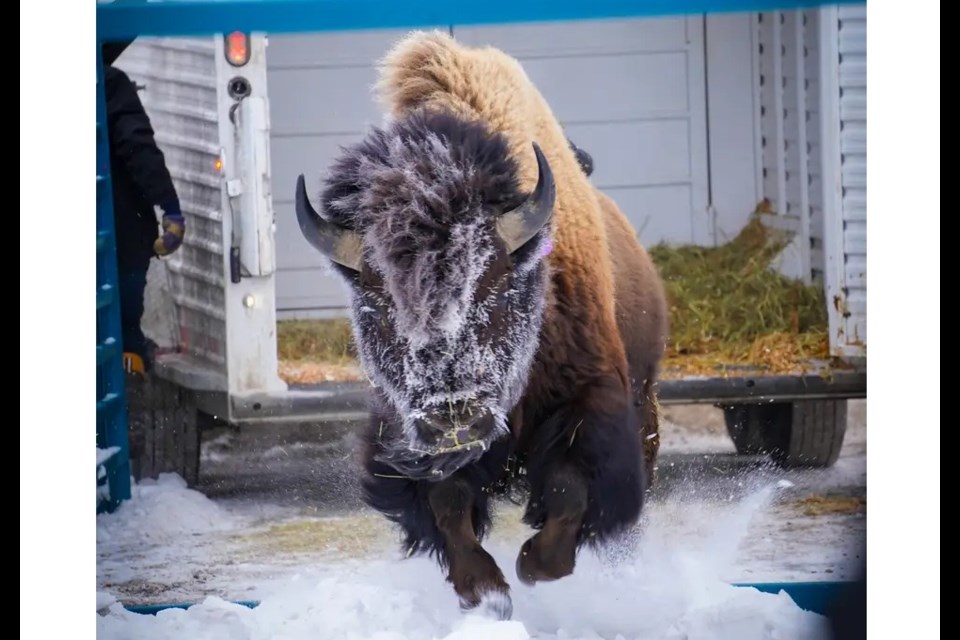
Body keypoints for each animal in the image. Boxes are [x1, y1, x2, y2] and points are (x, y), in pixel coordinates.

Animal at [294, 31, 668, 620]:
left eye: (490, 284)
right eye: (375, 299)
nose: (454, 417)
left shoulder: (591, 402)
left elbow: (570, 490)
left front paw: (533, 566)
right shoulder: (404, 439)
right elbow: (447, 504)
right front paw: (486, 591)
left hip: (645, 403)